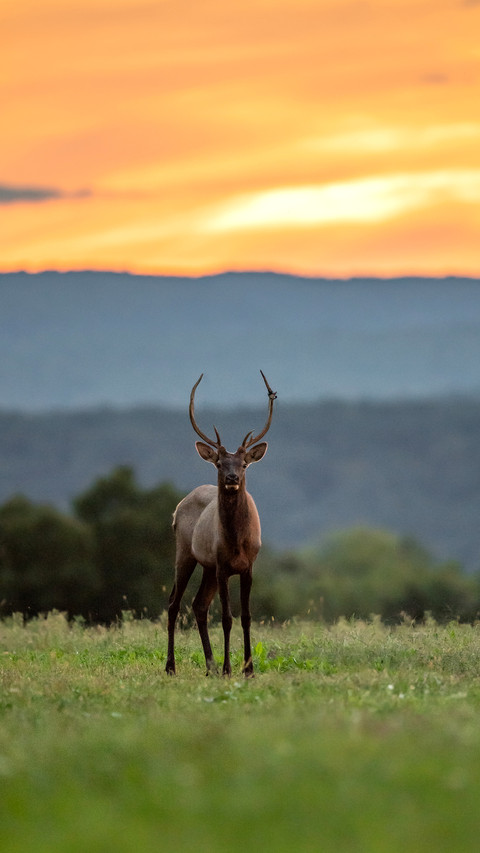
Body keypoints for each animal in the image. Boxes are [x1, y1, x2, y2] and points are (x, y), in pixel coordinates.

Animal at [165, 370, 276, 678]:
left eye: (244, 464)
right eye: (219, 464)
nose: (231, 478)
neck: (237, 542)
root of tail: (177, 509)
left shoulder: (248, 566)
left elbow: (247, 616)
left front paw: (249, 669)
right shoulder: (224, 566)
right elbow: (227, 617)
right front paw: (230, 668)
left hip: (207, 566)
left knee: (198, 605)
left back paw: (210, 666)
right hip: (186, 553)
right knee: (174, 604)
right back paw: (171, 666)